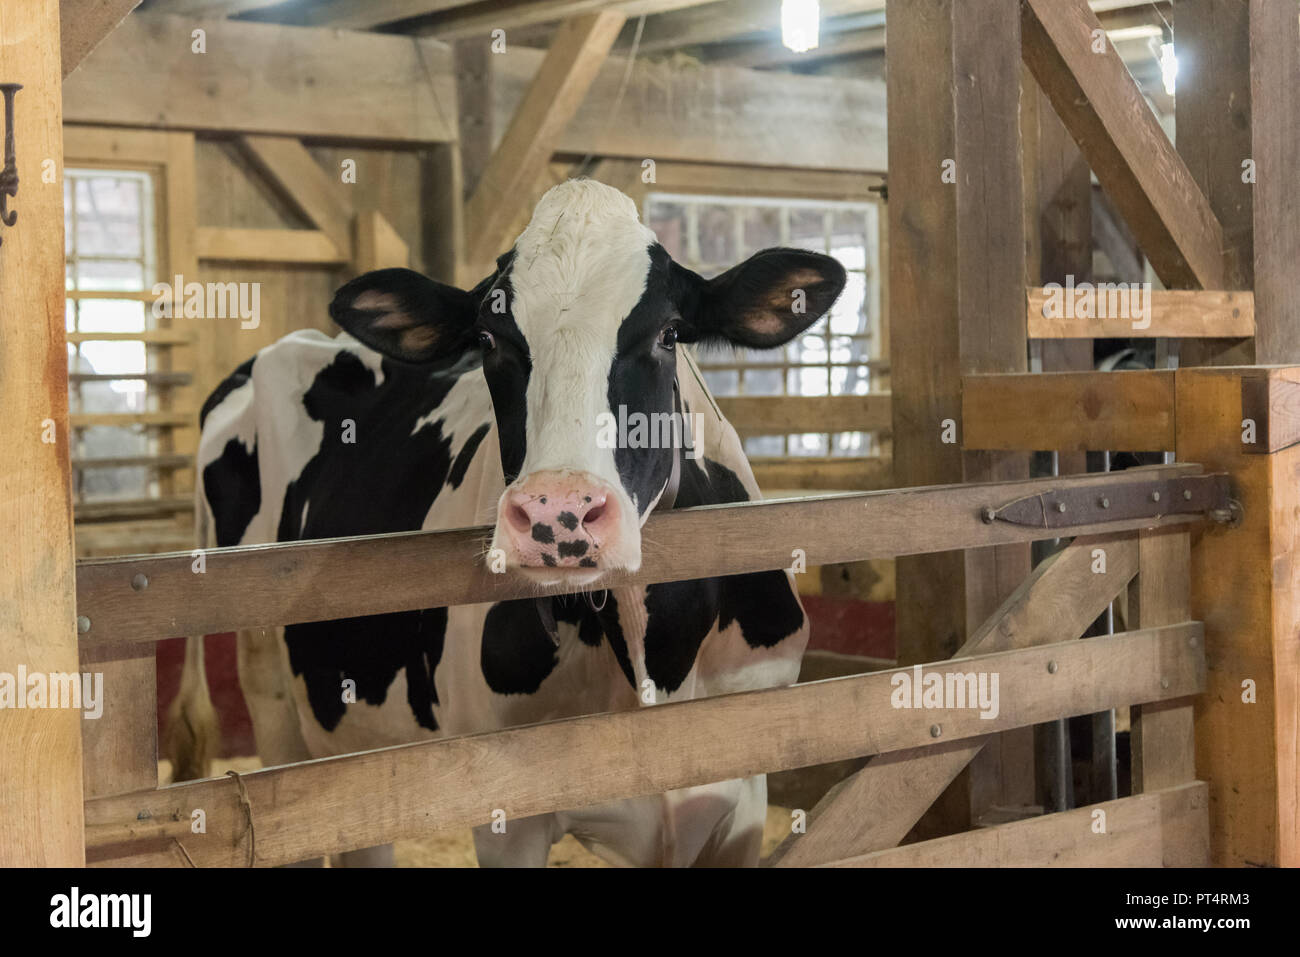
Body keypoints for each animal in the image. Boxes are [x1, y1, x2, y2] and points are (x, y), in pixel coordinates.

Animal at [170, 179, 842, 868]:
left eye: (669, 332)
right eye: (491, 341)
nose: (559, 512)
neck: (655, 660)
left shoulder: (743, 801)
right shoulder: (507, 812)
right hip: (276, 710)